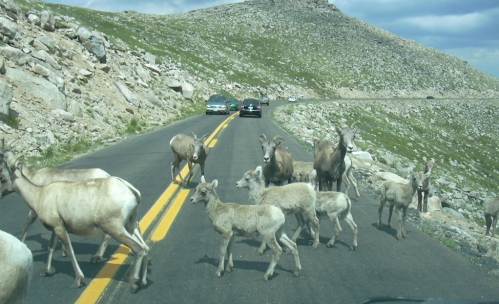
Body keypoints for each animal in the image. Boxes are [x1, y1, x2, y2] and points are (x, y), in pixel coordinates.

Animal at [2, 163, 150, 290]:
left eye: (2, 178)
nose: (1, 193)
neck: (39, 195)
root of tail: (131, 190)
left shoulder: (60, 228)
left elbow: (70, 250)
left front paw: (79, 279)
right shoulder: (56, 229)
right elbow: (51, 247)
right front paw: (47, 271)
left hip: (115, 228)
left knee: (139, 248)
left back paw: (134, 283)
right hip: (130, 226)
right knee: (145, 247)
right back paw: (143, 281)